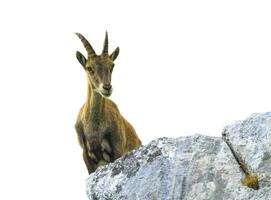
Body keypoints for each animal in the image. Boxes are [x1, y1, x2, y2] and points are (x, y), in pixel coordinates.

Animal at [74, 31, 142, 173]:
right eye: (89, 68)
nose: (107, 87)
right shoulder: (86, 155)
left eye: (112, 65)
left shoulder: (118, 149)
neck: (95, 129)